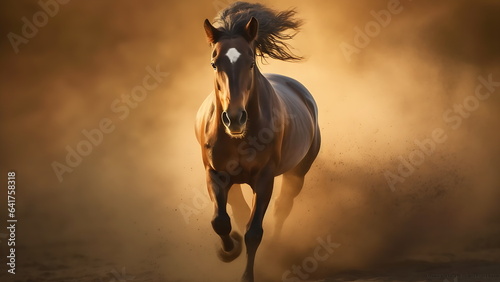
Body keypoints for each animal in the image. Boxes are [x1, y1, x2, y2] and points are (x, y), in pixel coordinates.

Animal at [195, 1, 320, 280]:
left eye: (251, 63)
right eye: (214, 63)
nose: (234, 118)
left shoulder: (264, 178)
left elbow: (254, 232)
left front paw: (248, 274)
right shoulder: (215, 173)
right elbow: (220, 221)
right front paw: (229, 250)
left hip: (297, 173)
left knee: (282, 208)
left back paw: (275, 250)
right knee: (238, 209)